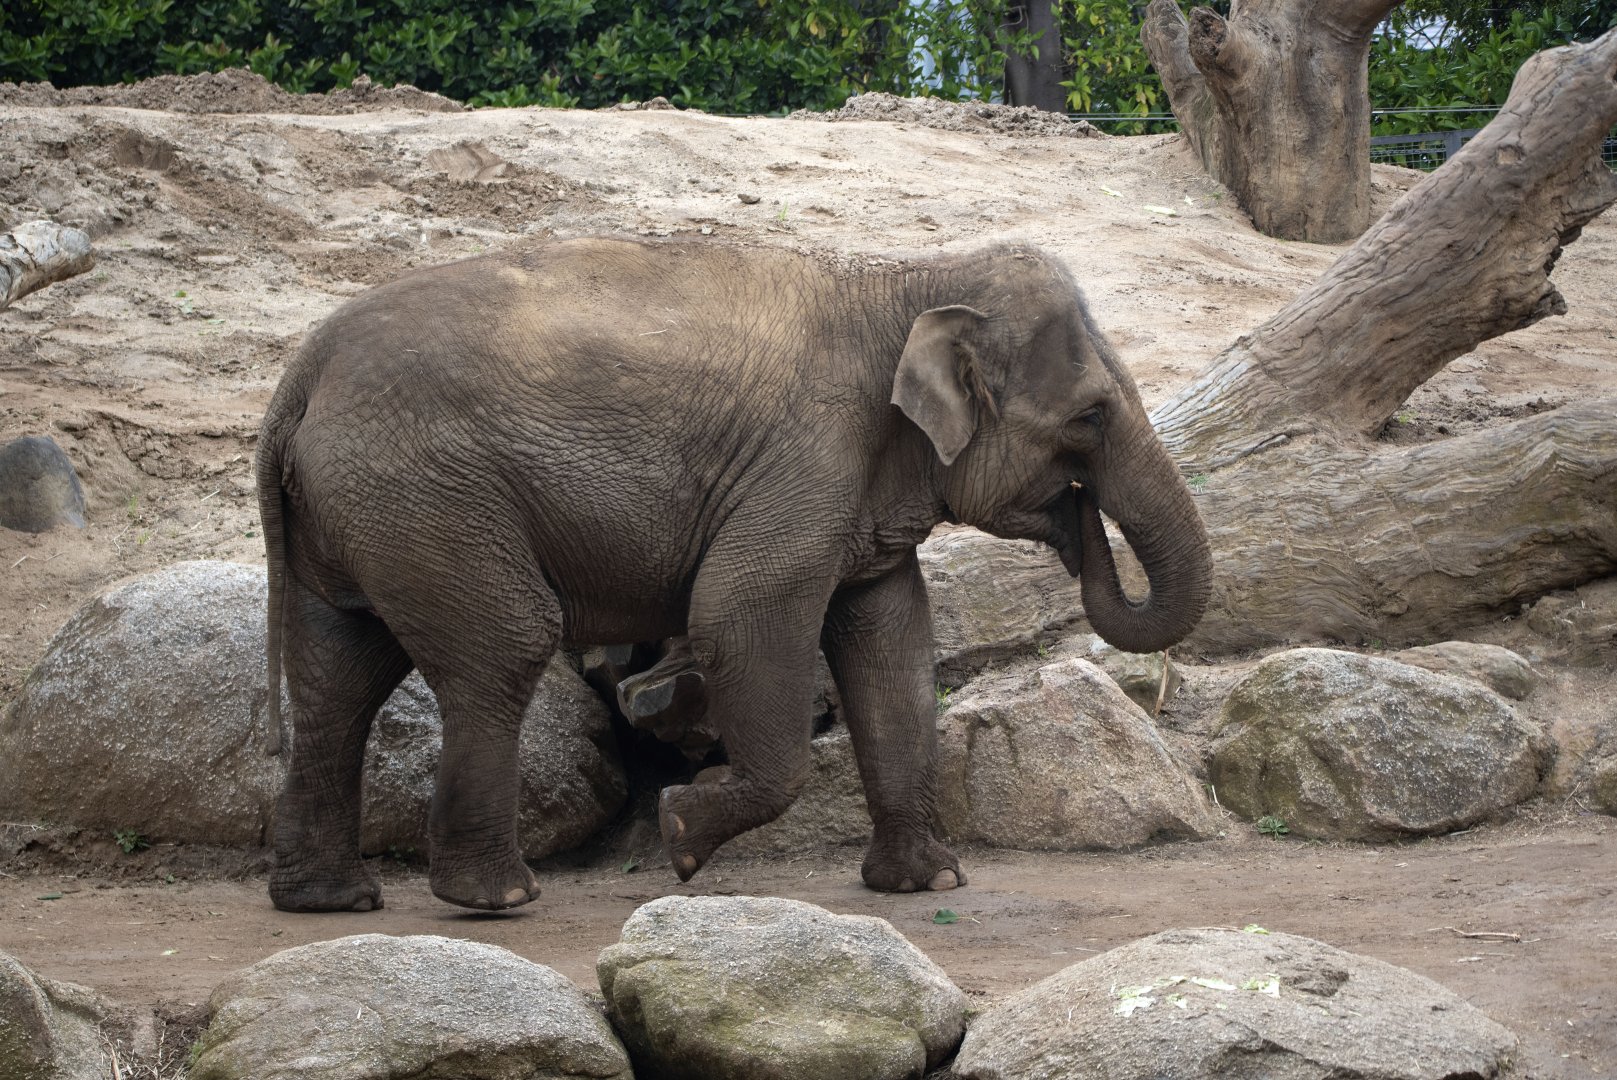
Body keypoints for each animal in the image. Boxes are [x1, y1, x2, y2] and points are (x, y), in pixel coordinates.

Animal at [256, 236, 1213, 913]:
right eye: (1091, 416)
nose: (1077, 525)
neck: (910, 278)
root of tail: (298, 376)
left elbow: (893, 645)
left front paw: (928, 885)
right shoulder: (807, 458)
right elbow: (739, 615)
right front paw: (680, 831)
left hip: (366, 512)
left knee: (339, 671)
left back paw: (327, 900)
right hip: (426, 496)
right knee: (504, 643)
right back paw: (497, 898)